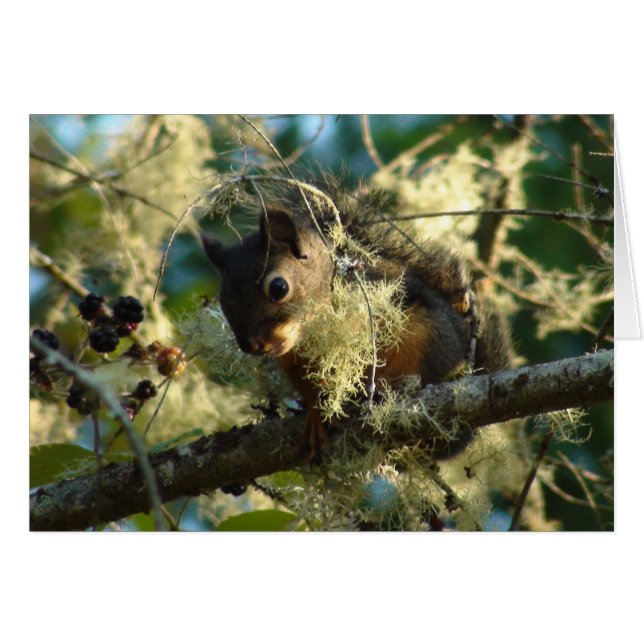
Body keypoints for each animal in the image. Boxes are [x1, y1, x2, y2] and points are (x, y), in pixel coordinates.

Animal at [202, 181, 512, 459]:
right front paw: (316, 414)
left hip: (433, 340)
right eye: (224, 301)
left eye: (278, 288)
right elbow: (310, 389)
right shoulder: (293, 363)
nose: (253, 345)